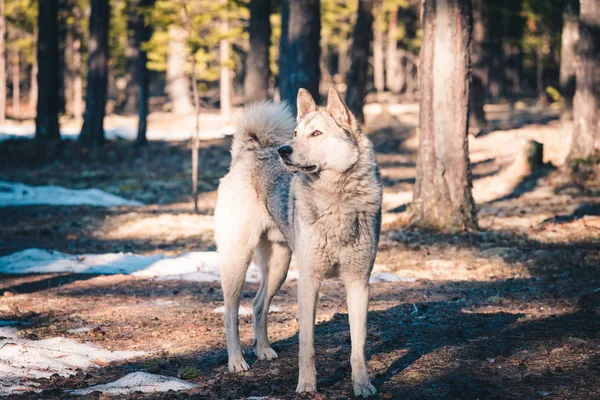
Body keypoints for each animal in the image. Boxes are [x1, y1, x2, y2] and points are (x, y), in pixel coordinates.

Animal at [216, 87, 382, 396]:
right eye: (295, 132)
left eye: (316, 133)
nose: (284, 150)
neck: (336, 201)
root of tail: (249, 152)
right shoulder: (309, 281)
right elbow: (307, 345)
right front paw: (306, 385)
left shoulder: (359, 282)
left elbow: (358, 346)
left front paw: (362, 384)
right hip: (237, 260)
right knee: (231, 312)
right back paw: (237, 361)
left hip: (279, 267)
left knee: (258, 304)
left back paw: (263, 350)